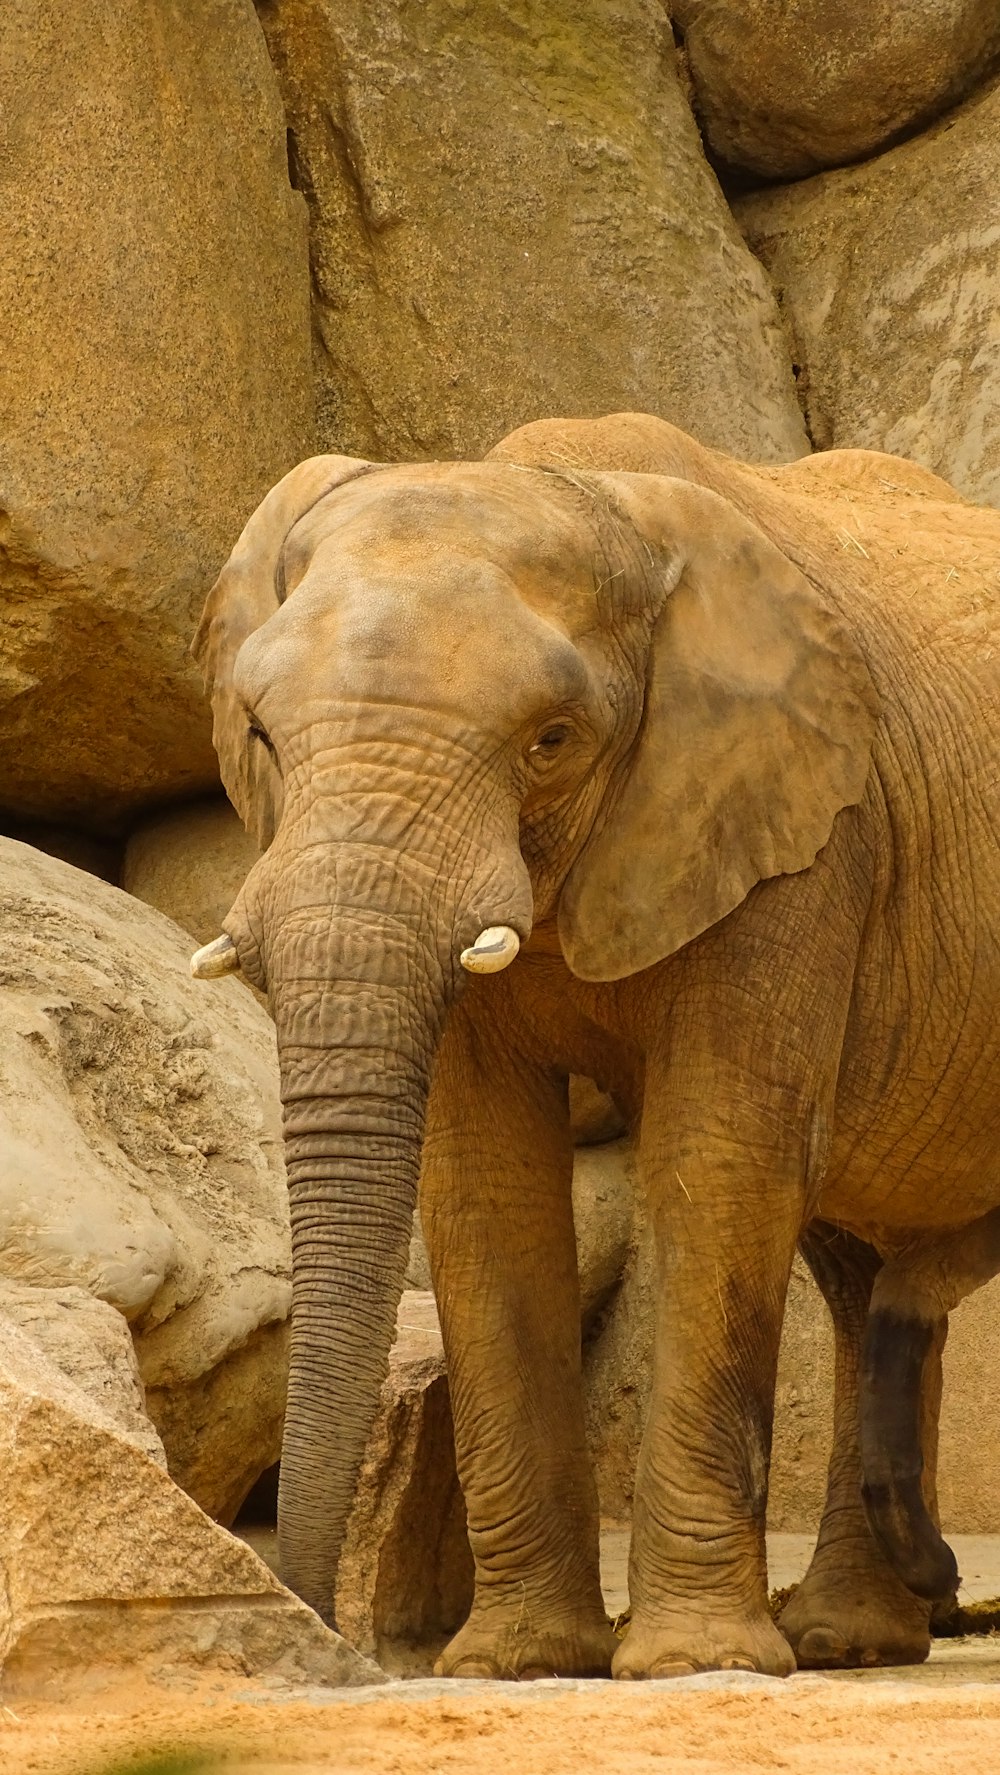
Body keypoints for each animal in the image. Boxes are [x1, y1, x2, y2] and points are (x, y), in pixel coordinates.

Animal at [190, 411, 1000, 1675]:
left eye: (551, 739)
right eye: (263, 734)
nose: (324, 1628)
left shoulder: (805, 834)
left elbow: (721, 1160)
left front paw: (693, 1661)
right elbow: (484, 1183)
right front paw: (515, 1660)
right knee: (861, 1262)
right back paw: (850, 1637)